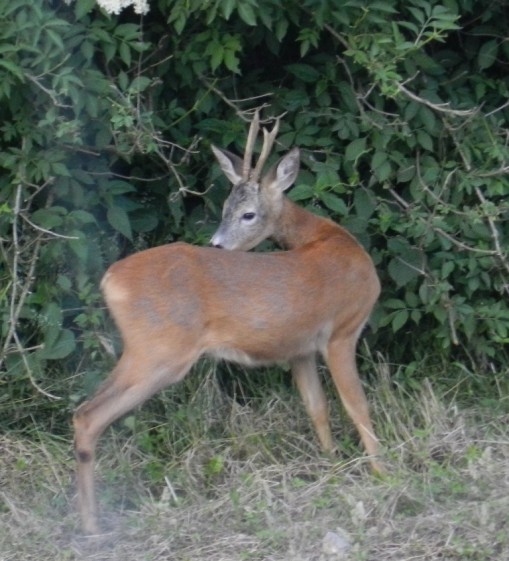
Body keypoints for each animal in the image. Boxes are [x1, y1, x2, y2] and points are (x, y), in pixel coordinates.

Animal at [71, 110, 380, 532]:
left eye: (246, 213)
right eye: (224, 210)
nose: (216, 243)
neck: (327, 238)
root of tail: (109, 280)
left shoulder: (298, 349)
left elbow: (317, 408)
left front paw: (332, 466)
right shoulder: (343, 332)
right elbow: (357, 406)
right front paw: (385, 474)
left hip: (145, 351)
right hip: (159, 352)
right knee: (88, 416)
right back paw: (91, 526)